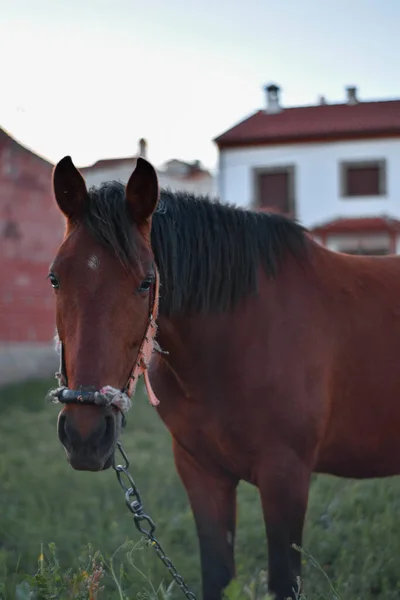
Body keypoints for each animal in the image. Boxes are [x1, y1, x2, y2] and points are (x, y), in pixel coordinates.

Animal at [48, 156, 400, 600]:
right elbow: (216, 574)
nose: (85, 435)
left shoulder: (286, 476)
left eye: (146, 281)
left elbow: (284, 580)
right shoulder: (201, 473)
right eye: (55, 278)